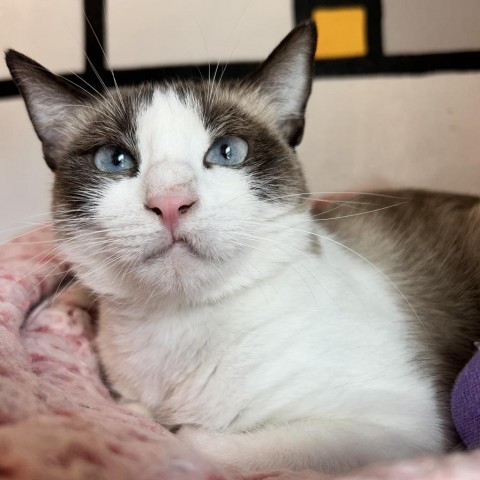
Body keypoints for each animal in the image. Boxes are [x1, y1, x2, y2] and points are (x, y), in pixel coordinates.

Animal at [5, 20, 480, 474]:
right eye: (115, 160)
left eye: (228, 151)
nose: (171, 202)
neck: (177, 331)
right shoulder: (126, 397)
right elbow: (141, 415)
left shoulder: (397, 426)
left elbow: (195, 440)